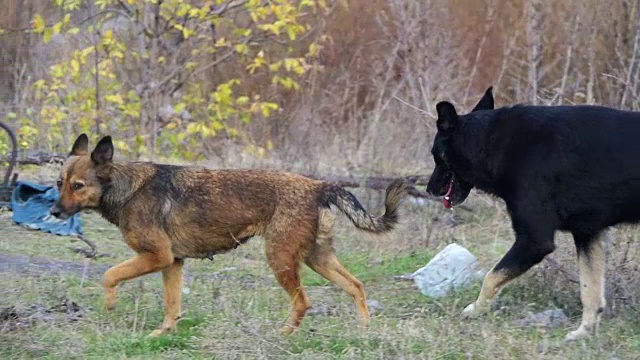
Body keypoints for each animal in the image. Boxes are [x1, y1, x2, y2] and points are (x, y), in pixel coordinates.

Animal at [51, 134, 410, 336]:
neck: (125, 189)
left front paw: (110, 306)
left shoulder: (157, 257)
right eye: (59, 182)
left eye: (78, 186)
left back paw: (283, 335)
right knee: (356, 287)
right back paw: (364, 332)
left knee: (303, 302)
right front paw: (162, 334)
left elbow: (109, 275)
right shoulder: (173, 263)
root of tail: (320, 185)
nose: (53, 212)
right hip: (317, 259)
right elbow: (171, 305)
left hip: (281, 260)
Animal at [428, 87, 640, 340]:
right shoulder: (587, 234)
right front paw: (583, 333)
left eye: (435, 154)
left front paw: (476, 309)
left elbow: (491, 277)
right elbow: (590, 291)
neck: (491, 143)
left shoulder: (535, 240)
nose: (428, 189)